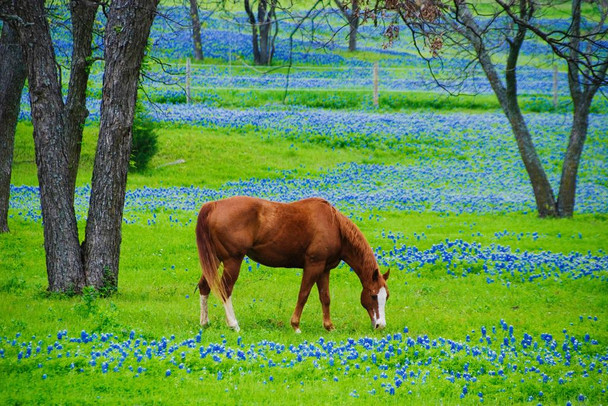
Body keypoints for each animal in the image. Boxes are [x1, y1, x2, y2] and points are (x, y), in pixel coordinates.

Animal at [197, 197, 392, 334]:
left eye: (386, 296)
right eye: (373, 295)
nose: (381, 325)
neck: (334, 225)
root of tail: (214, 205)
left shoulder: (324, 269)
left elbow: (325, 297)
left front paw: (329, 327)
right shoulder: (313, 266)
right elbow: (303, 295)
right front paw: (296, 326)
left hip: (215, 260)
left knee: (205, 286)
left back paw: (204, 323)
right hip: (232, 261)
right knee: (225, 289)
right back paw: (234, 325)